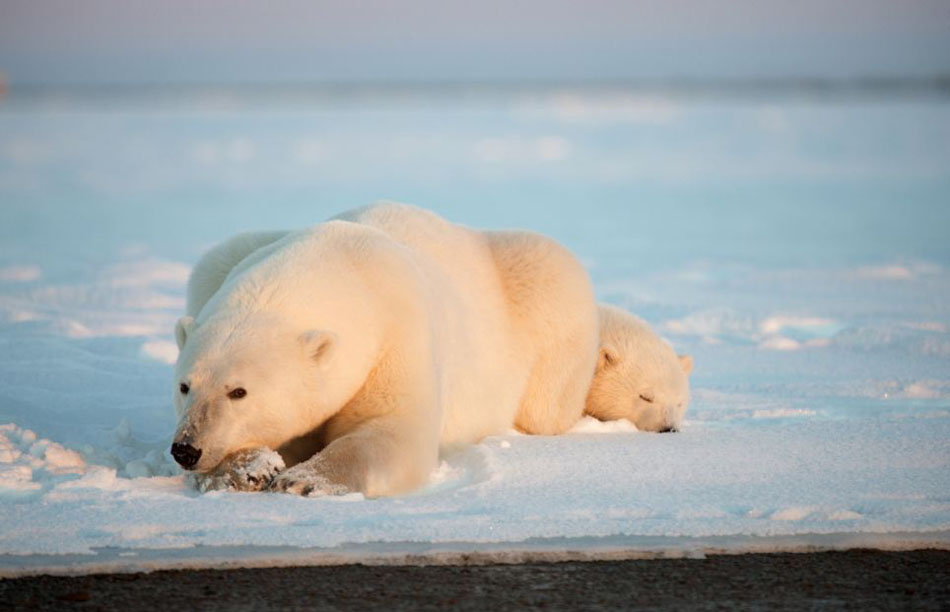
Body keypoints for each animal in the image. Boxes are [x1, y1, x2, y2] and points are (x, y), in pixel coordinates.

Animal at [172, 204, 600, 498]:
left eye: (238, 391)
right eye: (184, 386)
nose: (186, 449)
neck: (344, 263)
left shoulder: (397, 336)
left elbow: (390, 429)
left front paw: (303, 480)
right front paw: (249, 469)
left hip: (540, 295)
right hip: (220, 260)